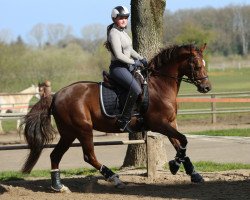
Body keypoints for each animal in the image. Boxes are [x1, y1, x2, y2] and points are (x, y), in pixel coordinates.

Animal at [20, 43, 211, 192]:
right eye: (196, 64)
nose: (207, 87)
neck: (160, 86)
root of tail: (56, 95)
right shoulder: (159, 124)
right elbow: (183, 140)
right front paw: (175, 165)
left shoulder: (170, 123)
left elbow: (180, 144)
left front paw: (192, 173)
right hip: (83, 129)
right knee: (89, 156)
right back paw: (115, 179)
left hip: (69, 133)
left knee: (55, 155)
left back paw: (58, 186)